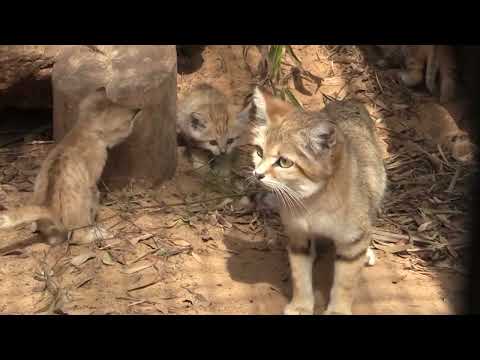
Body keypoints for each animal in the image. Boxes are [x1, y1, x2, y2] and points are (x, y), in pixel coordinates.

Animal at [0, 88, 142, 245]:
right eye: (129, 125)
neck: (82, 131)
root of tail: (49, 208)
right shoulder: (93, 178)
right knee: (77, 236)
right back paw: (99, 234)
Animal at [248, 88, 386, 316]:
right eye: (259, 152)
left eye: (284, 162)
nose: (257, 174)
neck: (313, 203)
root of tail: (345, 101)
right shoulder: (298, 235)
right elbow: (300, 276)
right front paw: (301, 305)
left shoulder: (352, 241)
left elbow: (345, 282)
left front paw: (338, 310)